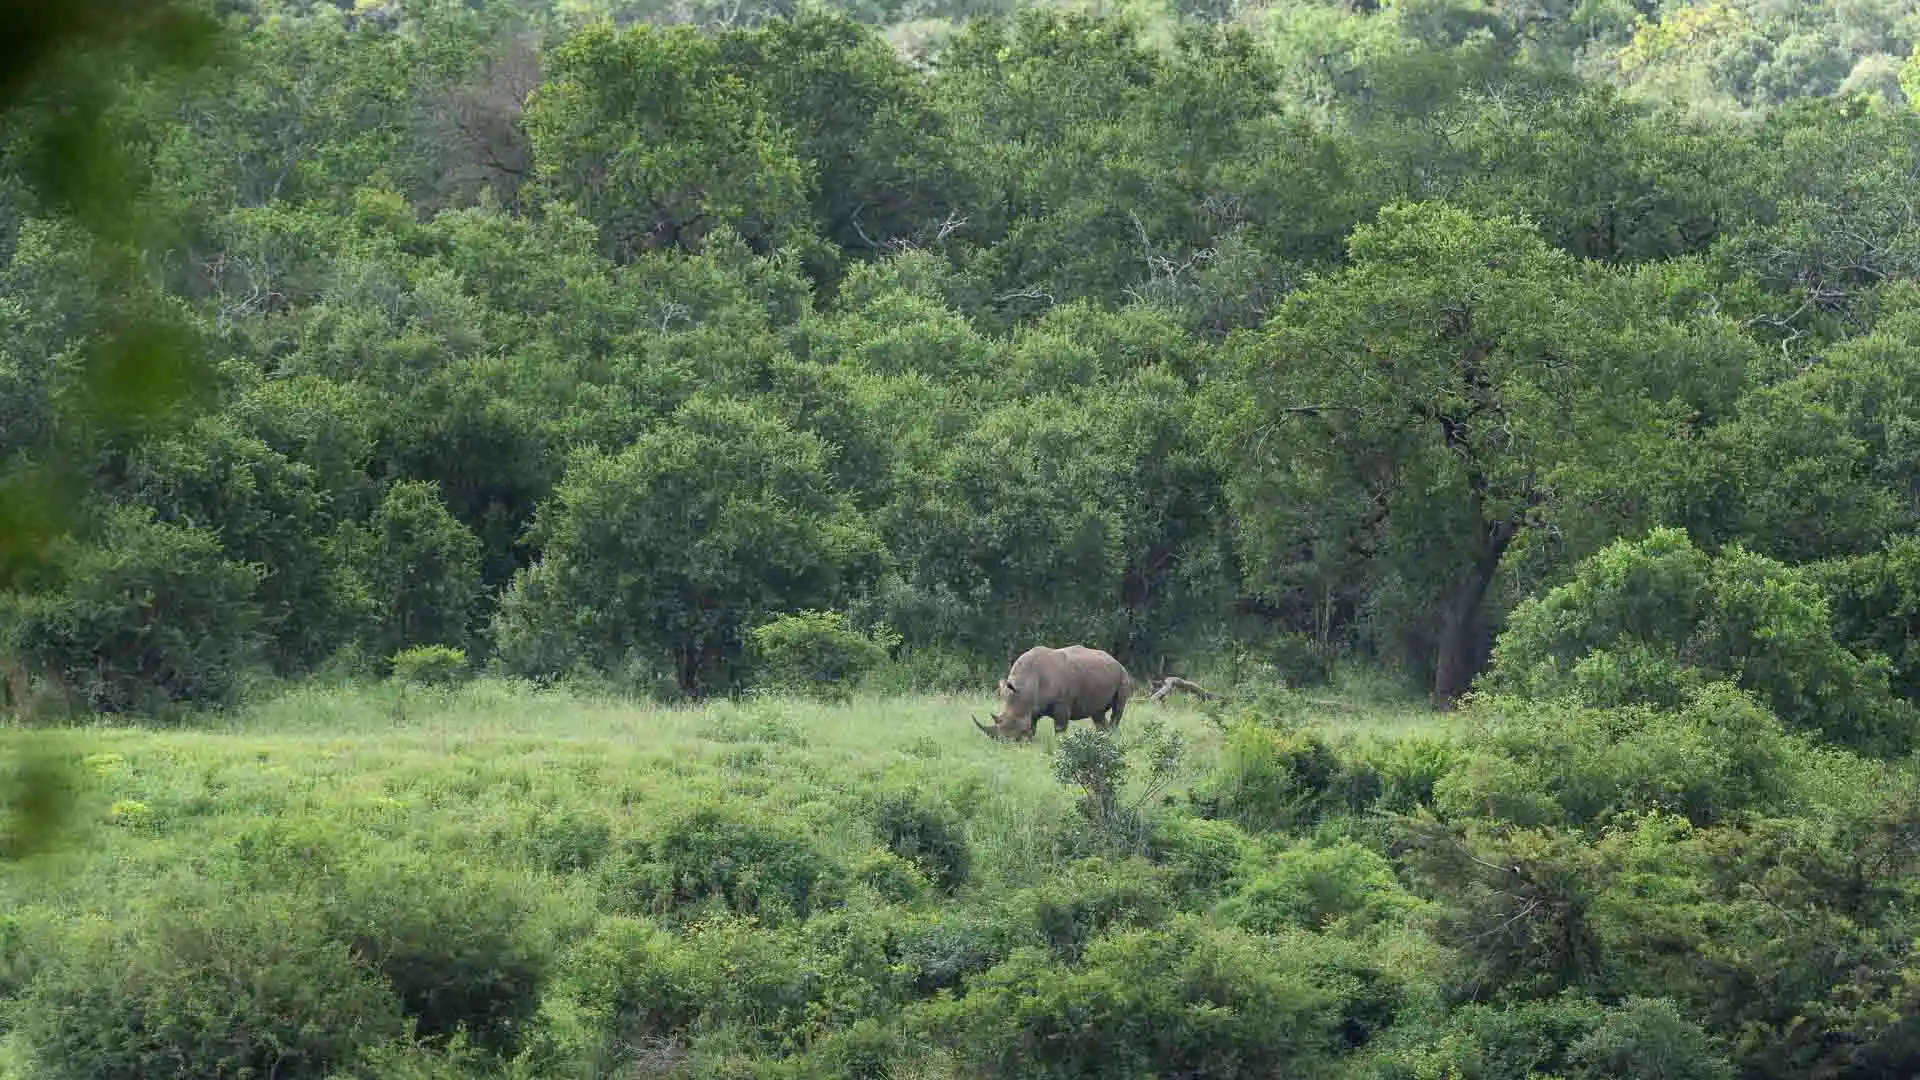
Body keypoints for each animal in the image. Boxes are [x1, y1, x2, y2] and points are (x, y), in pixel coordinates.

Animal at [972, 645, 1133, 741]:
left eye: (1013, 722)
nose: (1005, 742)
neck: (1025, 687)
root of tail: (1115, 660)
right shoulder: (1032, 705)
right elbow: (1032, 725)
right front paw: (1029, 740)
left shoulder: (1062, 703)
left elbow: (1059, 727)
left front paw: (1059, 743)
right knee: (1097, 714)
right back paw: (1103, 738)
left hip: (1123, 676)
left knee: (1117, 709)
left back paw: (1111, 736)